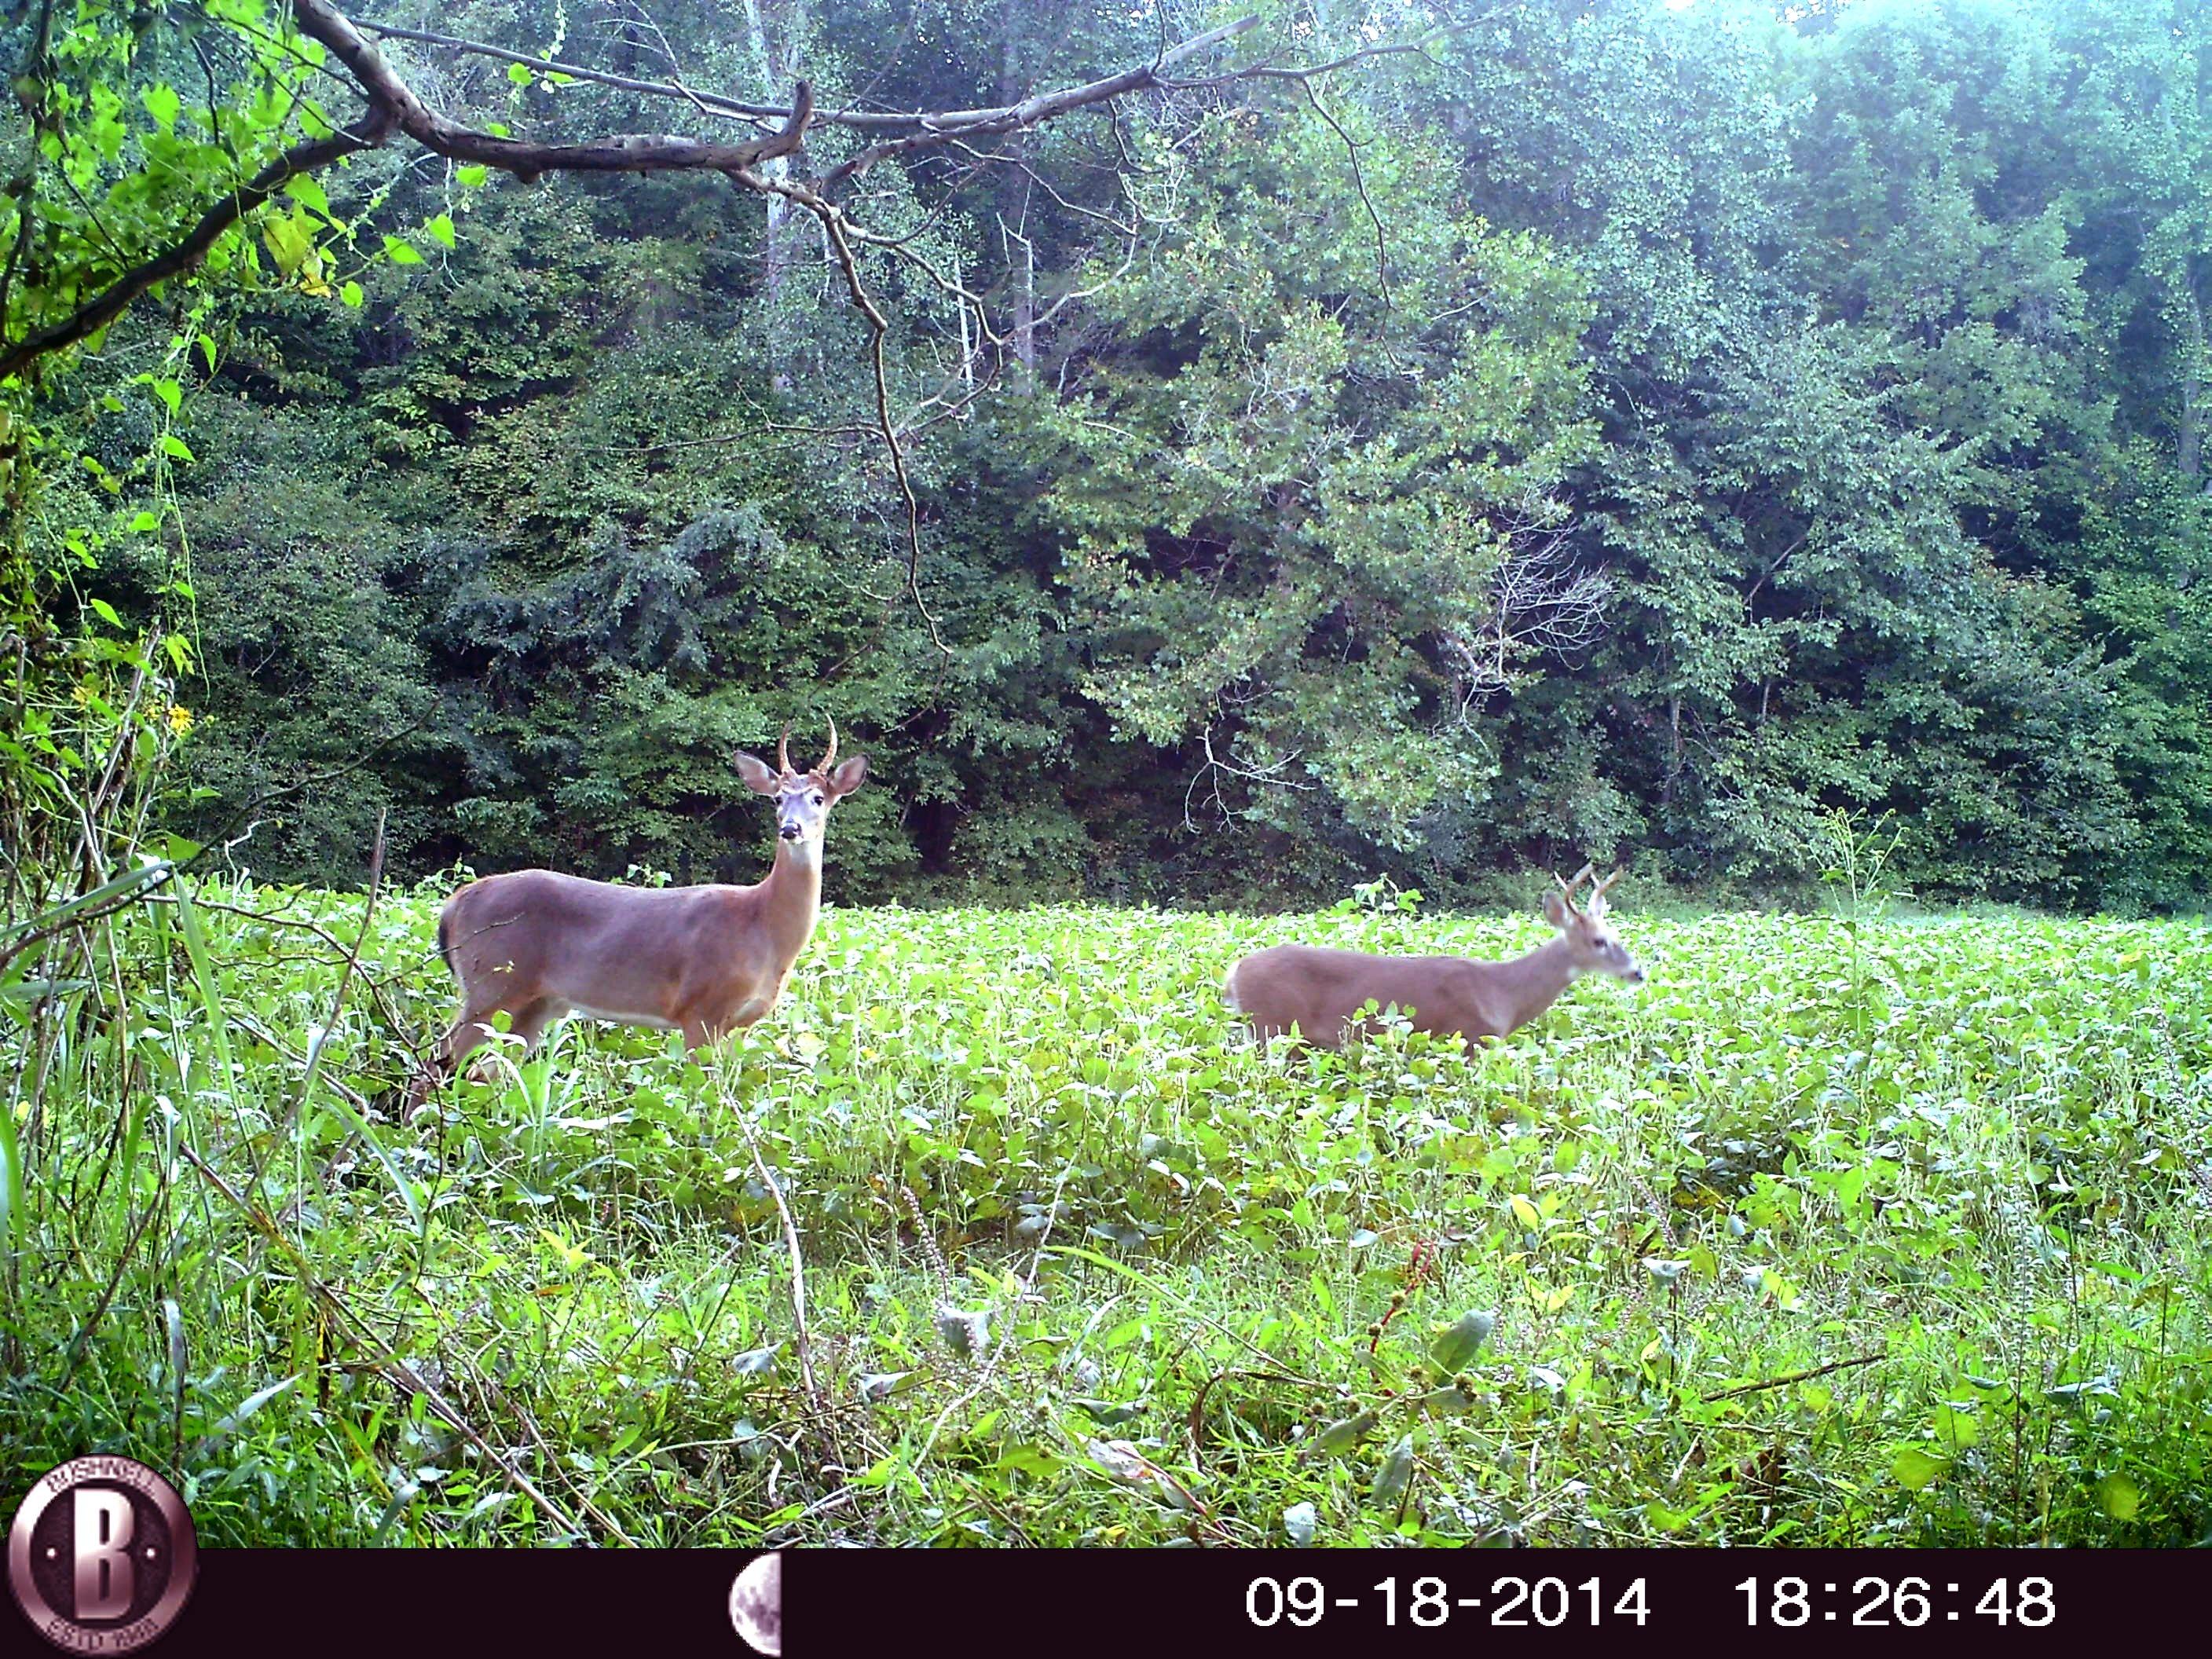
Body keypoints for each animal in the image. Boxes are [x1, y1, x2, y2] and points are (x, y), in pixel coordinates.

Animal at [418, 716, 866, 1083]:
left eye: (818, 798)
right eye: (778, 798)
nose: (790, 829)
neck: (762, 927)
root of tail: (454, 904)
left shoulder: (742, 1023)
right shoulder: (698, 1008)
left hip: (536, 1004)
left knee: (484, 1071)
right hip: (491, 981)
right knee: (437, 1061)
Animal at [1229, 871, 1646, 1053]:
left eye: (1618, 934)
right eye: (1599, 941)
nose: (1639, 972)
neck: (1503, 994)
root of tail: (1233, 974)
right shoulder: (1470, 1037)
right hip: (1271, 1028)